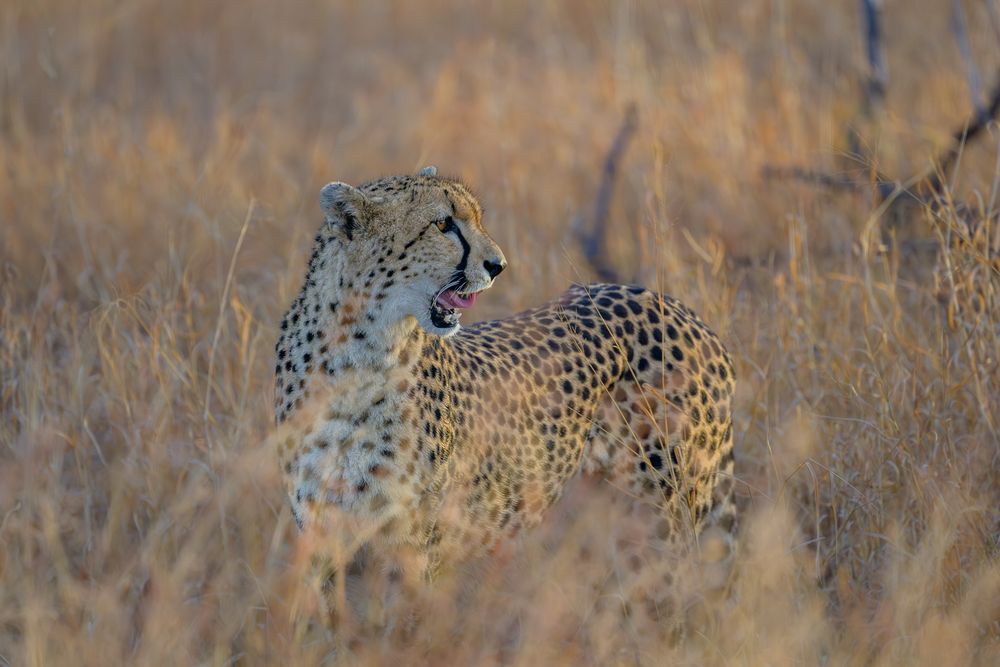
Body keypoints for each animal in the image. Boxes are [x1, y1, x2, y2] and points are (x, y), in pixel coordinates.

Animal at [272, 166, 737, 634]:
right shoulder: (322, 536)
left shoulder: (412, 546)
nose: (498, 266)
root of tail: (676, 306)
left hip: (662, 521)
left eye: (475, 219)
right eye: (443, 224)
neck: (356, 356)